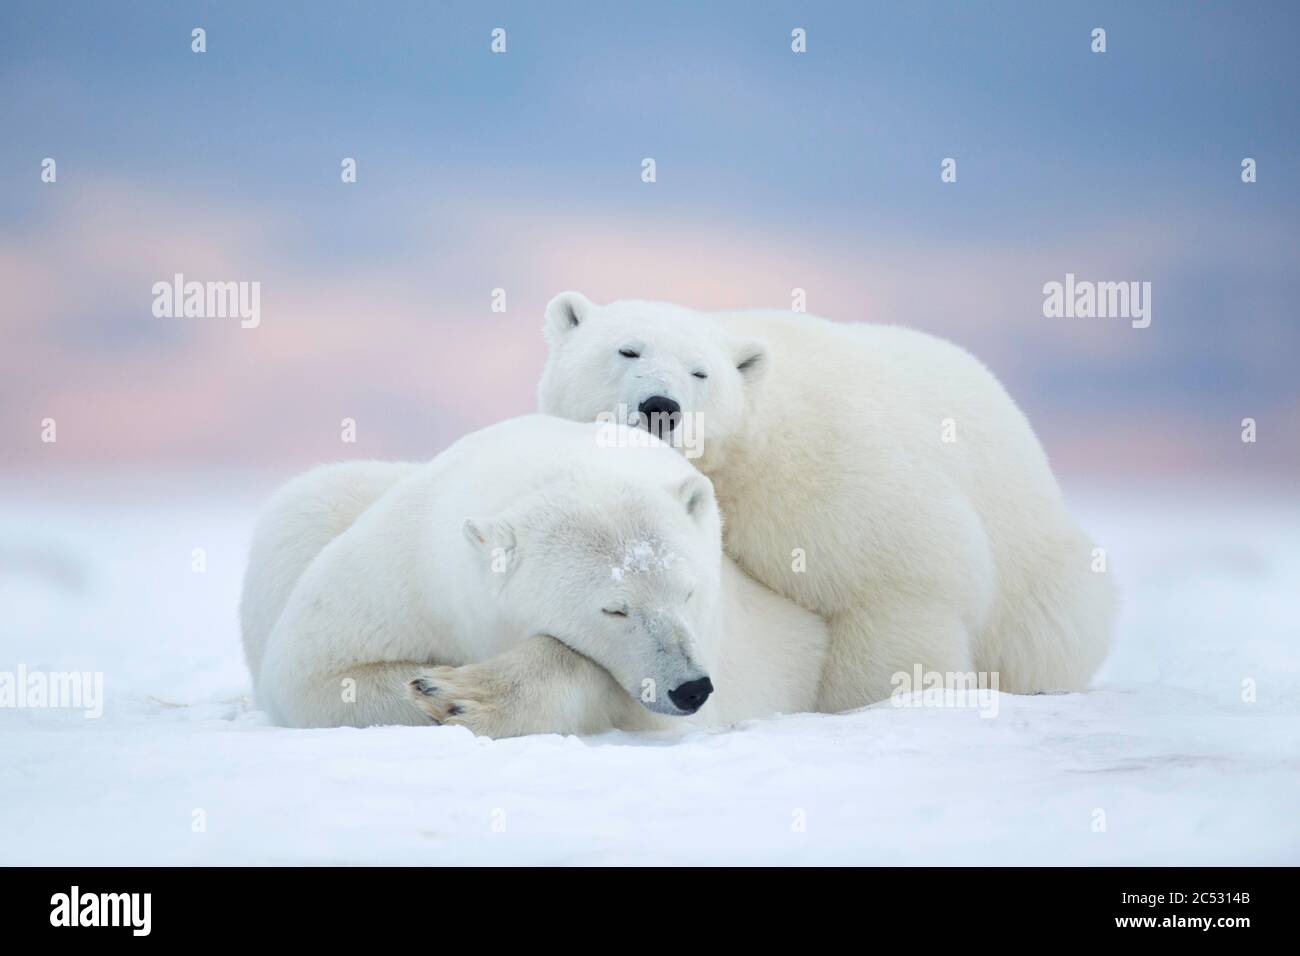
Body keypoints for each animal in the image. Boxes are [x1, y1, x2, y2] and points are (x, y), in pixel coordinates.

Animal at [240, 416, 826, 738]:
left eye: (688, 591)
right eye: (615, 608)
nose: (691, 688)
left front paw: (461, 693)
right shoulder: (408, 571)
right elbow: (315, 672)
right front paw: (434, 686)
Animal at [538, 291, 1118, 712]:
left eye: (701, 372)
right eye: (627, 350)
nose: (661, 406)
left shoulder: (829, 472)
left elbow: (899, 581)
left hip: (1039, 573)